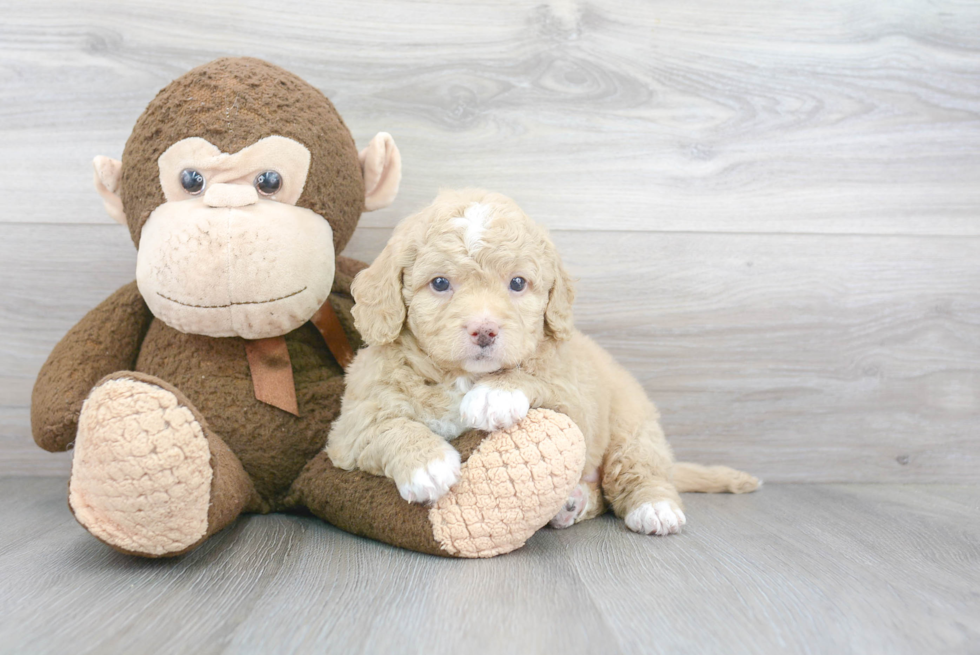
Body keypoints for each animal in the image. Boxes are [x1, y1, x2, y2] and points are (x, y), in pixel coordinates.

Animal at [330, 188, 756, 532]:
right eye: (439, 283)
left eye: (518, 283)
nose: (484, 331)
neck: (461, 377)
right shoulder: (349, 430)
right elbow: (386, 427)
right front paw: (428, 463)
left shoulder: (575, 397)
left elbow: (539, 378)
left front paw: (497, 394)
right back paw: (572, 503)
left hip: (632, 427)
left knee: (637, 471)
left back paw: (654, 507)